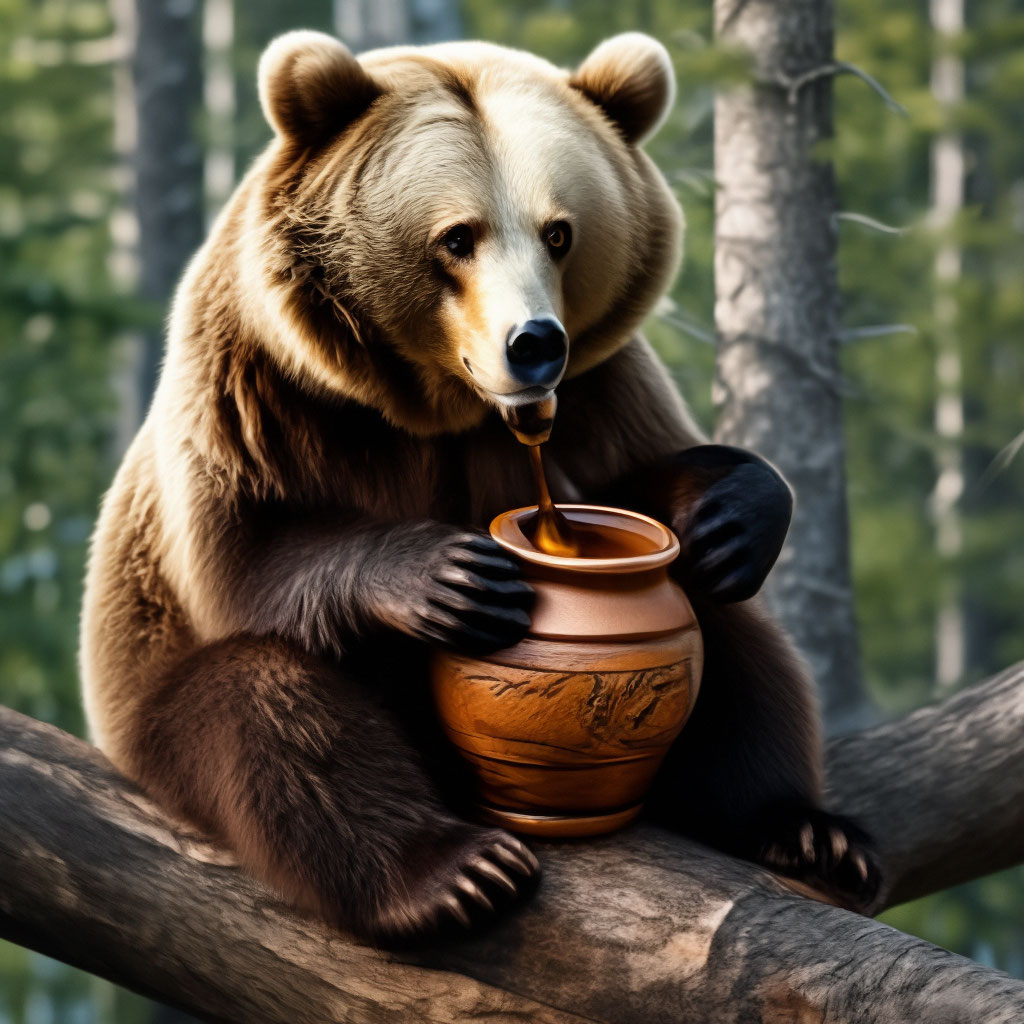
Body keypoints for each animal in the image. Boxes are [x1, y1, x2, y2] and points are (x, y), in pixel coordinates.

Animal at [79, 29, 881, 942]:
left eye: (559, 232)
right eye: (457, 237)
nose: (533, 343)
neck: (434, 408)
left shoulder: (598, 384)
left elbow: (636, 479)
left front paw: (730, 516)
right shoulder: (257, 385)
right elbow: (248, 553)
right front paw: (453, 578)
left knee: (739, 654)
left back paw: (806, 830)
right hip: (153, 709)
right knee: (266, 712)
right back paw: (451, 870)